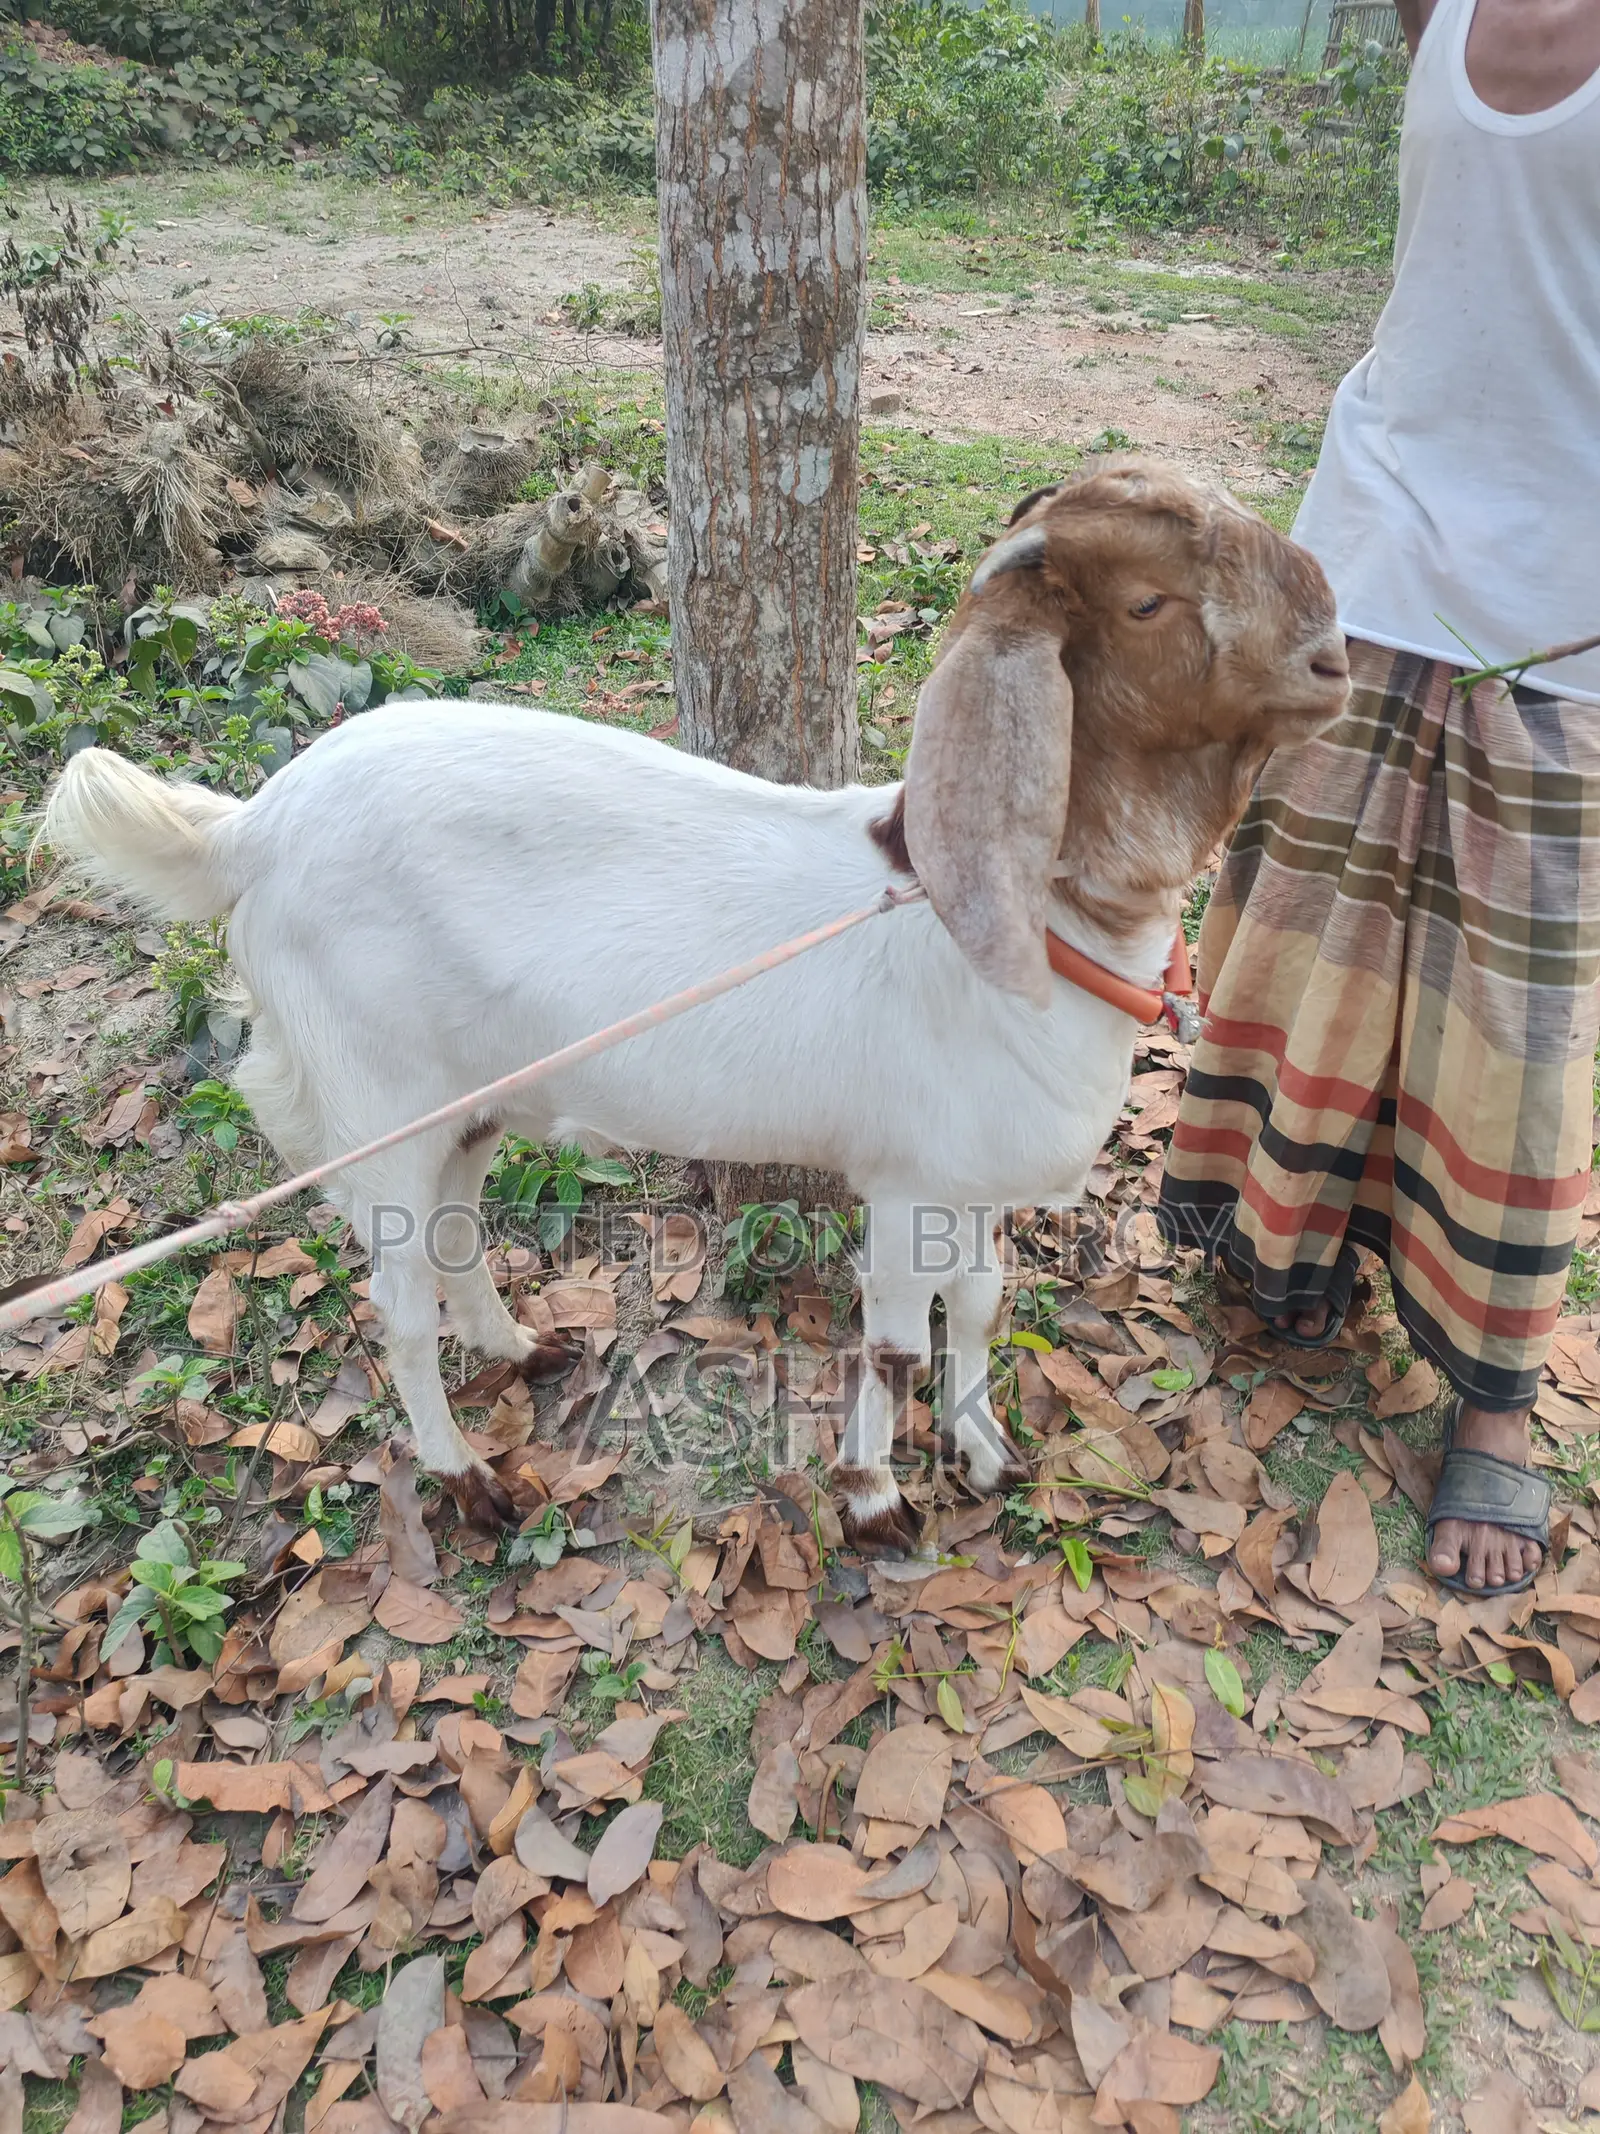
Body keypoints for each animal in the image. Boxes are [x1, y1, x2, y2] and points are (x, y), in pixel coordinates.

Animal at [43, 461, 1351, 1551]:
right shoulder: (908, 1184)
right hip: (377, 1103)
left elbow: (979, 1306)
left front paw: (982, 1453)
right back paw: (468, 1479)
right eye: (1148, 604)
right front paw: (873, 1500)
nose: (1335, 656)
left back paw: (520, 1348)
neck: (1010, 927)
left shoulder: (972, 1181)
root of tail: (251, 828)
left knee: (456, 1231)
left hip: (468, 1100)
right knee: (399, 1304)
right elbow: (892, 1347)